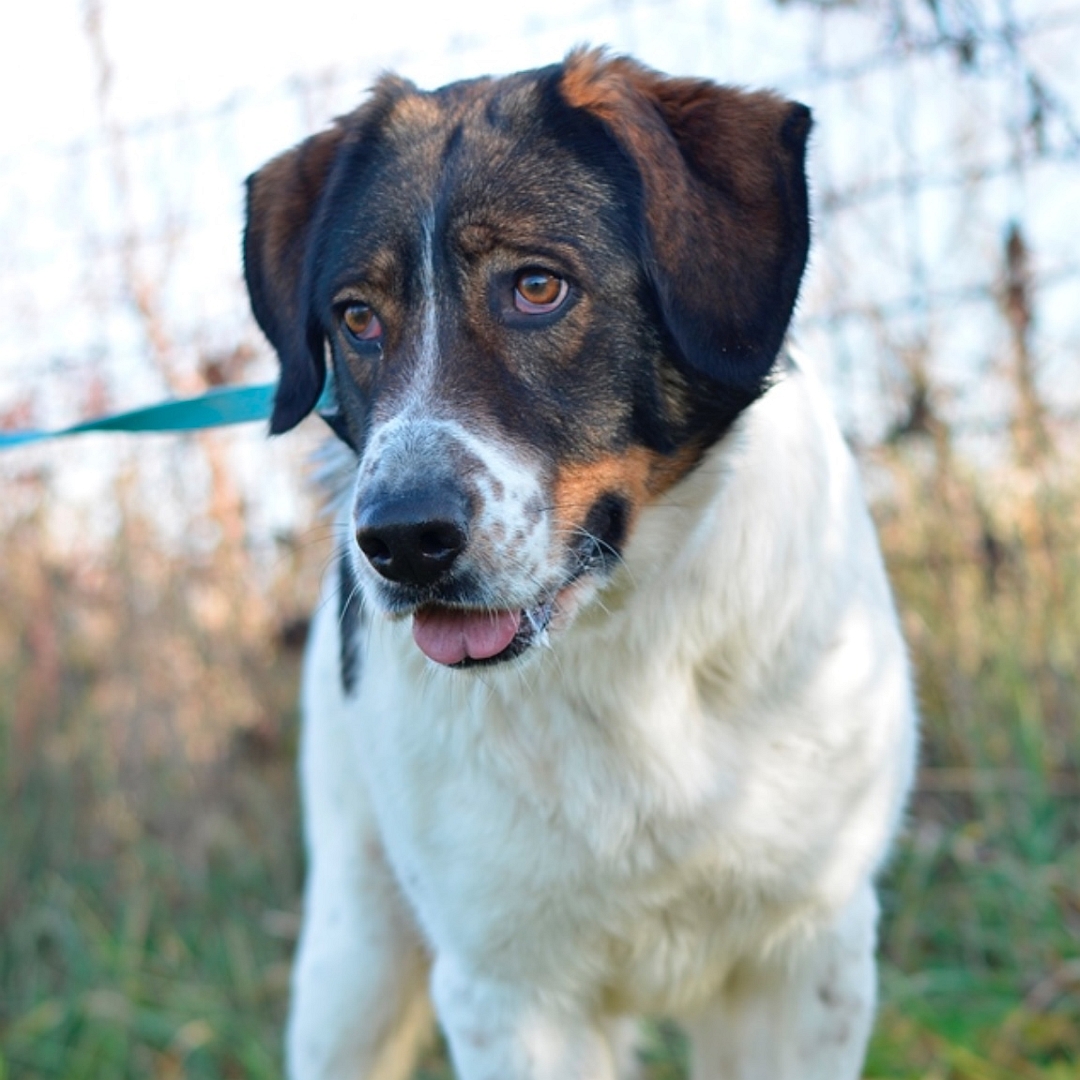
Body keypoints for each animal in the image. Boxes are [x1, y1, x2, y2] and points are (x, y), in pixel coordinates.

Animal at [240, 46, 915, 1075]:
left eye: (537, 287)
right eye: (356, 317)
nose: (398, 542)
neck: (628, 645)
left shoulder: (808, 958)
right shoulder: (506, 988)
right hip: (351, 961)